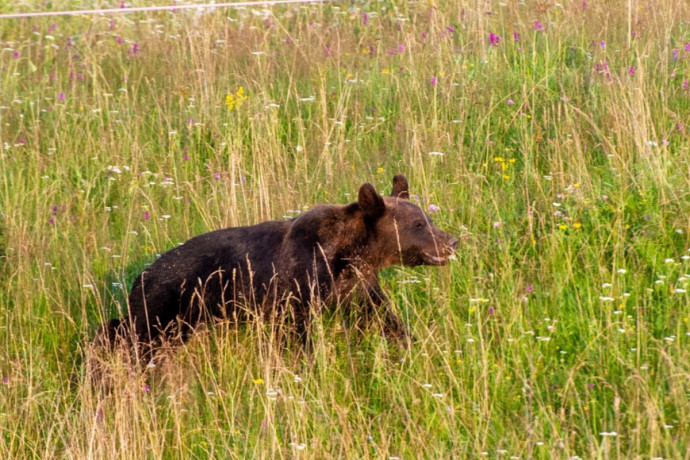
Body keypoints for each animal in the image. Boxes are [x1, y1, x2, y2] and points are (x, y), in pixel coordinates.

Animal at [98, 174, 456, 350]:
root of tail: (140, 276)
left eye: (427, 220)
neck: (348, 253)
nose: (452, 241)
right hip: (170, 304)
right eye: (419, 225)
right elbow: (296, 329)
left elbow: (382, 317)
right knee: (131, 334)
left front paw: (411, 345)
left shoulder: (358, 285)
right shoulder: (299, 280)